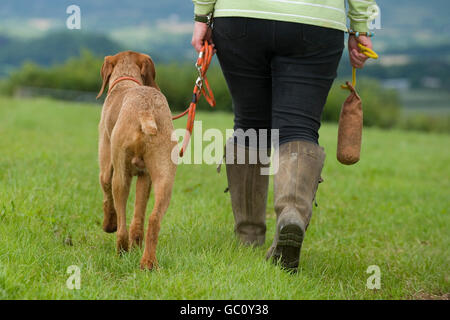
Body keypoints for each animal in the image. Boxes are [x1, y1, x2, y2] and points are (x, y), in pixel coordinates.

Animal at [97, 51, 177, 268]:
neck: (126, 80)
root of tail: (146, 111)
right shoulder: (145, 176)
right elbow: (138, 217)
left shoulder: (106, 165)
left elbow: (106, 195)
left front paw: (108, 225)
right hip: (165, 178)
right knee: (152, 219)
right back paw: (148, 262)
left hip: (120, 177)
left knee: (122, 226)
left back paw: (122, 250)